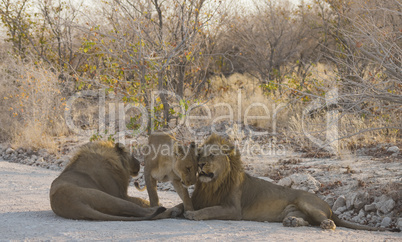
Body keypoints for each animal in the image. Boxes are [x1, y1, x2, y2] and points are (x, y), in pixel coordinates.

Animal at [185, 134, 396, 231]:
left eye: (212, 155)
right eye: (199, 155)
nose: (201, 164)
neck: (212, 184)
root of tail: (329, 207)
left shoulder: (233, 209)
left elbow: (211, 210)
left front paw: (193, 215)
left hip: (306, 201)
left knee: (322, 220)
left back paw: (326, 224)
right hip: (293, 211)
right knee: (309, 222)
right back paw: (293, 221)